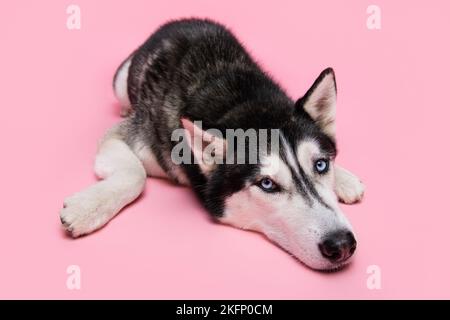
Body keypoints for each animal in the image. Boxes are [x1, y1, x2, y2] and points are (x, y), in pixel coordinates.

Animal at [59, 18, 364, 272]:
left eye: (320, 165)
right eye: (267, 184)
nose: (341, 244)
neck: (240, 102)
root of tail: (182, 20)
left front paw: (342, 177)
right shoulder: (125, 135)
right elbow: (136, 174)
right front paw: (87, 209)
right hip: (121, 81)